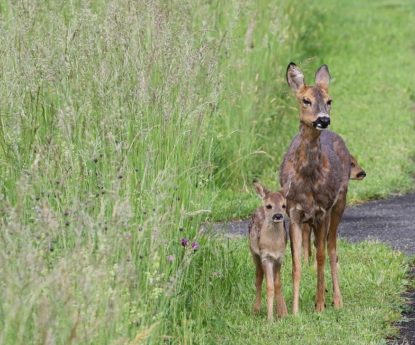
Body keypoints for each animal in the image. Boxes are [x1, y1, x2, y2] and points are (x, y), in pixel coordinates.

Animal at [280, 63, 352, 314]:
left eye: (329, 100)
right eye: (305, 100)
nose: (323, 120)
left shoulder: (321, 211)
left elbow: (320, 256)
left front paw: (319, 305)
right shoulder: (293, 212)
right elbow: (296, 263)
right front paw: (294, 311)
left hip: (339, 203)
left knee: (332, 249)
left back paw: (337, 301)